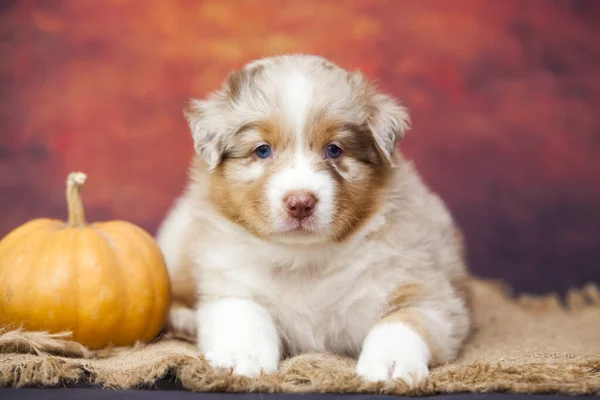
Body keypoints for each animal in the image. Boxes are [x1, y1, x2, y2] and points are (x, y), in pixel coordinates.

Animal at [156, 54, 474, 386]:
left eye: (334, 150)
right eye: (262, 150)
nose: (300, 203)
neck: (304, 258)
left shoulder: (429, 294)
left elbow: (401, 322)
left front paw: (391, 363)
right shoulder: (230, 285)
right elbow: (245, 316)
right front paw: (239, 358)